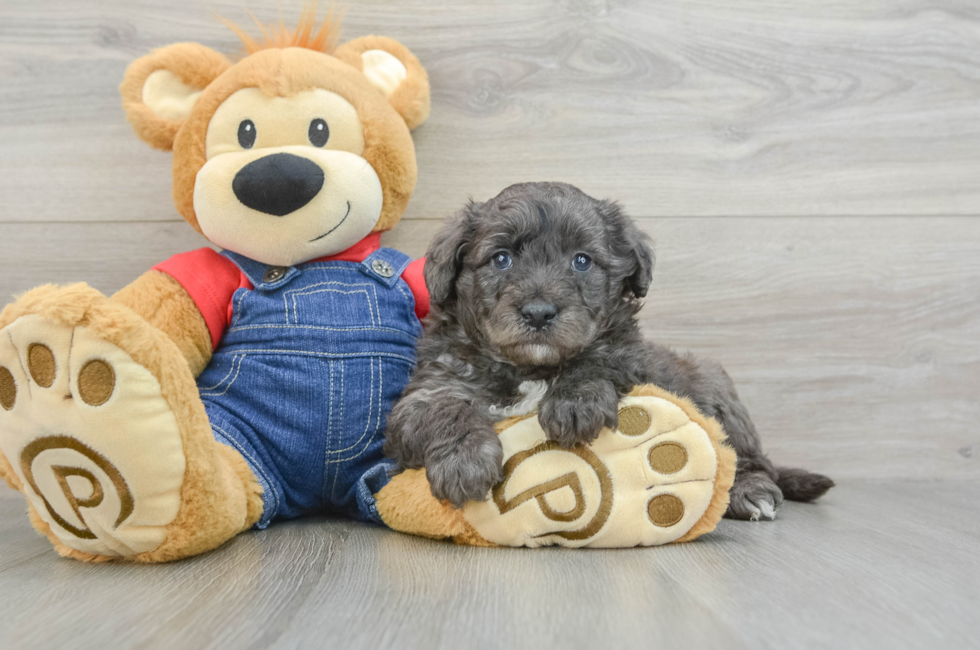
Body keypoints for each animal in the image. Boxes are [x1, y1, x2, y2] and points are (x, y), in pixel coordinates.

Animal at [386, 180, 832, 520]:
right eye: (501, 258)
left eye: (582, 261)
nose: (539, 313)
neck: (531, 369)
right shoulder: (430, 389)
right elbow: (447, 410)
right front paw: (464, 462)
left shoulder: (627, 356)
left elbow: (598, 359)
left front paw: (574, 402)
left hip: (715, 387)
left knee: (750, 459)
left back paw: (749, 492)